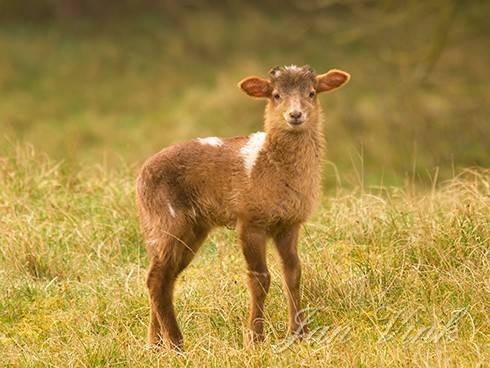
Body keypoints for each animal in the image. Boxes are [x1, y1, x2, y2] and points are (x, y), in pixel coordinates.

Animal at [136, 64, 350, 350]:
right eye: (276, 95)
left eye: (312, 93)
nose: (295, 115)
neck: (270, 165)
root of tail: (139, 178)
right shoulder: (250, 220)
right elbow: (260, 278)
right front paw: (255, 339)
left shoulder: (290, 223)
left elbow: (293, 273)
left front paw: (299, 334)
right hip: (167, 220)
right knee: (156, 279)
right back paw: (178, 345)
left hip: (188, 229)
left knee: (164, 278)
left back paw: (156, 344)